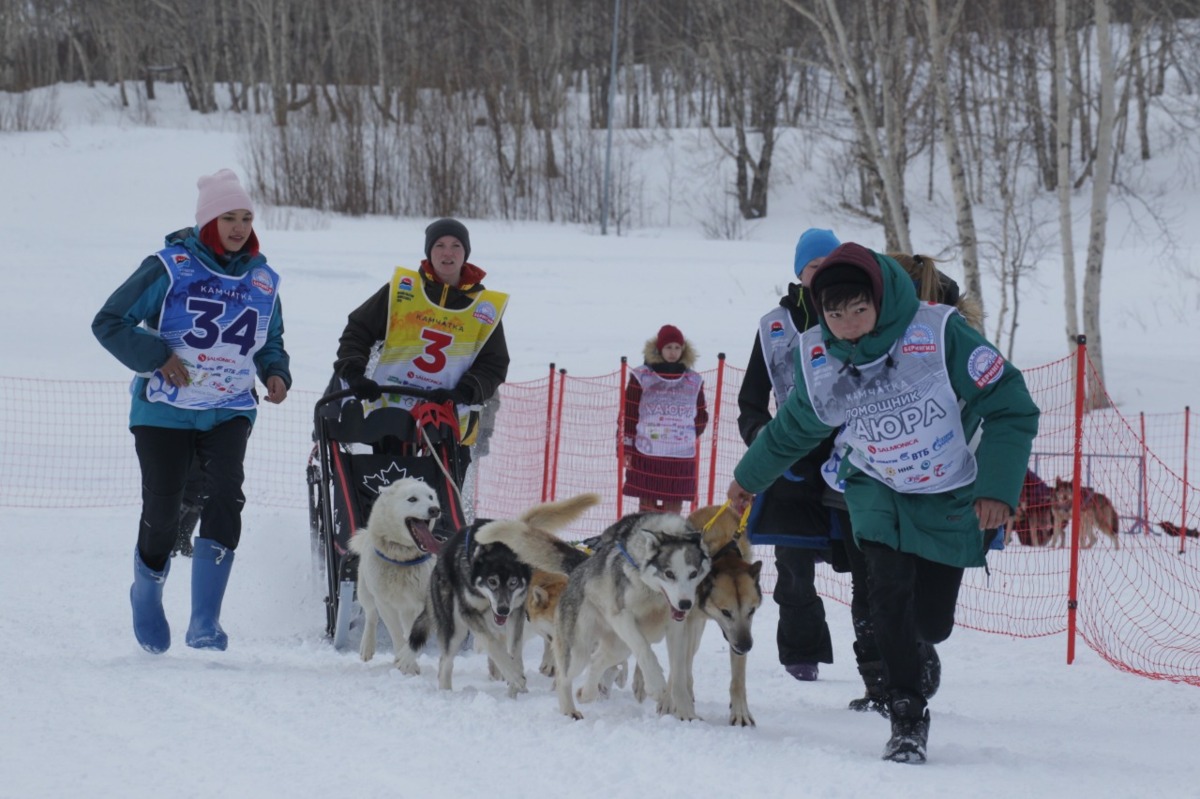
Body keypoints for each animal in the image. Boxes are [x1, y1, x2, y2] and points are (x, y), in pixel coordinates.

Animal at [350, 472, 444, 671]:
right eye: (412, 499)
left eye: (431, 497)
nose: (435, 510)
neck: (402, 560)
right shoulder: (385, 604)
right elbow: (395, 632)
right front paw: (406, 664)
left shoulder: (424, 604)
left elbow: (413, 635)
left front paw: (408, 661)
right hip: (365, 591)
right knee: (371, 615)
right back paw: (367, 646)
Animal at [410, 491, 600, 695]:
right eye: (491, 581)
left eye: (513, 582)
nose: (502, 610)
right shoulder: (471, 614)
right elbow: (493, 646)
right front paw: (513, 675)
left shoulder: (516, 616)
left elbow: (515, 651)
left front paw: (519, 681)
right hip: (455, 626)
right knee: (446, 661)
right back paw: (445, 689)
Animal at [472, 511, 705, 719]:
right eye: (669, 574)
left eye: (693, 573)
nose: (685, 604)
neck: (653, 593)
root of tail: (579, 568)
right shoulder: (621, 616)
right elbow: (644, 650)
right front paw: (656, 685)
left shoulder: (677, 630)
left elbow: (678, 671)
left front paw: (686, 713)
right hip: (580, 648)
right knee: (565, 676)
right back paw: (569, 709)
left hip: (616, 645)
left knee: (598, 660)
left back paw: (586, 692)